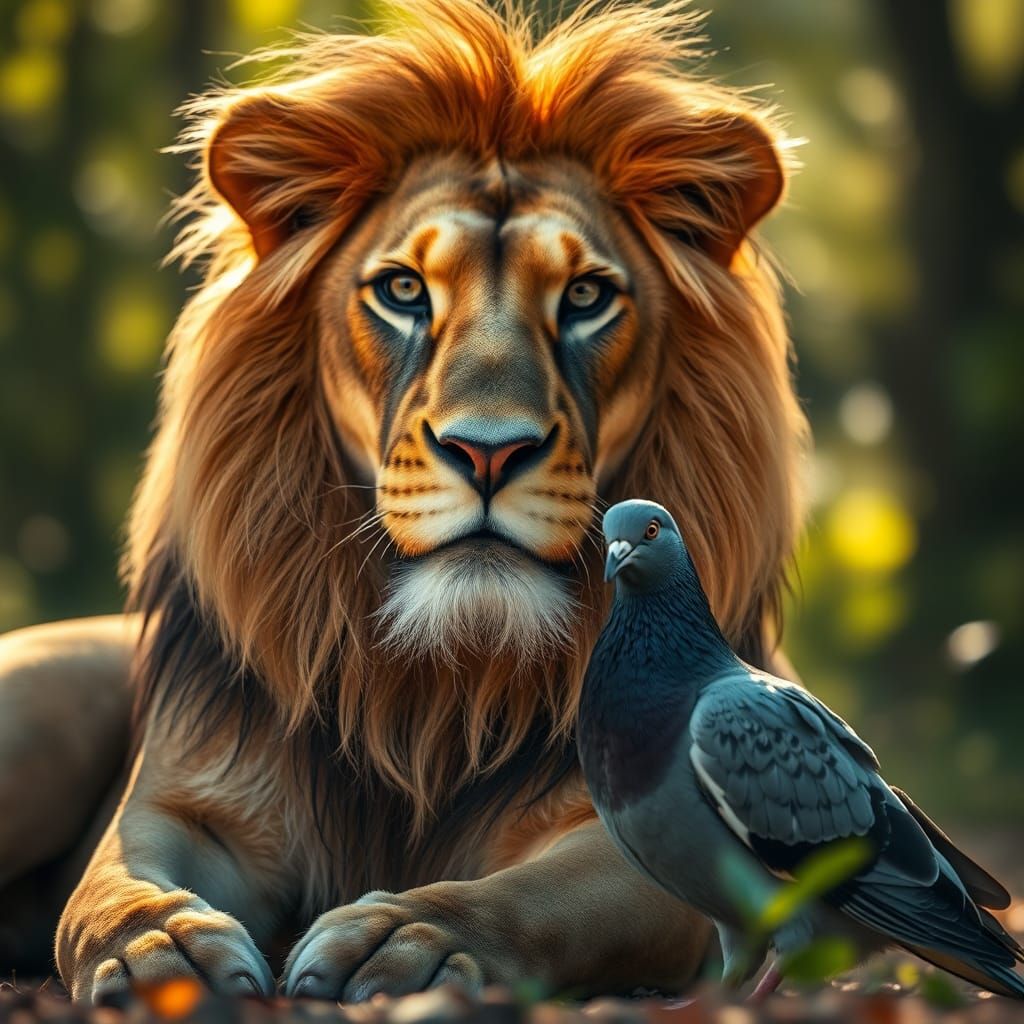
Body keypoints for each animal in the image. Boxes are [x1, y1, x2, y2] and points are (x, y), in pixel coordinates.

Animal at [0, 0, 808, 1003]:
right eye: (402, 290)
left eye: (586, 296)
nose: (488, 450)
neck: (430, 689)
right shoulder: (193, 807)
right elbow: (108, 889)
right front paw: (161, 952)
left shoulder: (641, 828)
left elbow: (532, 896)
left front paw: (408, 939)